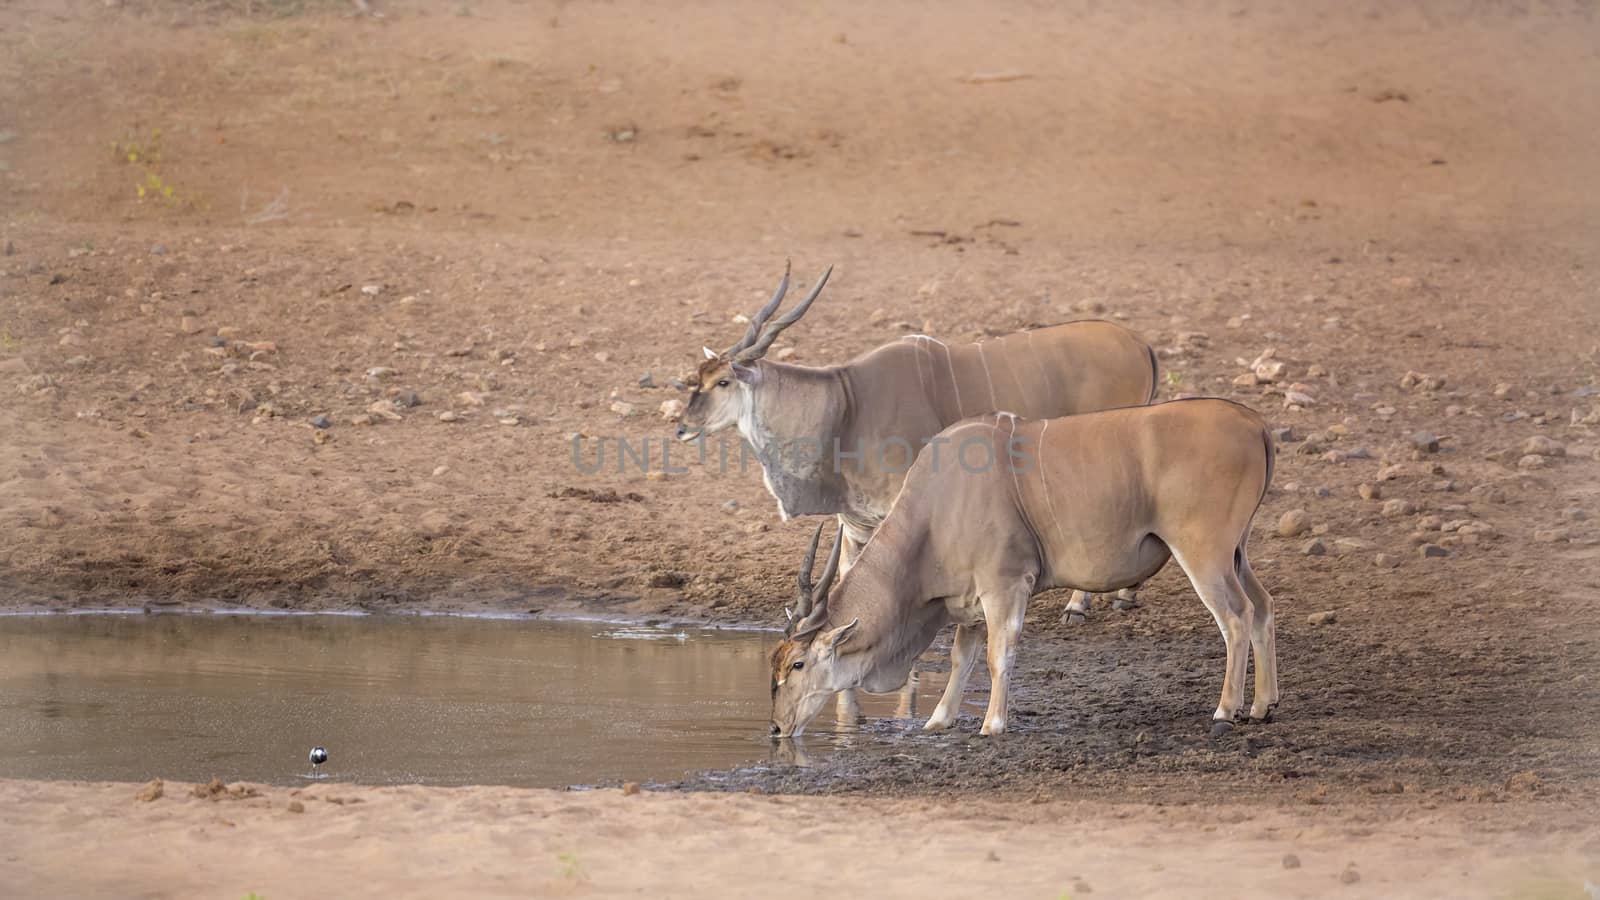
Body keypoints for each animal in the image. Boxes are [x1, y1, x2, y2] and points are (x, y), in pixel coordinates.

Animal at [678, 261, 1164, 714]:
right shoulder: (854, 524)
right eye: (696, 379)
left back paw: (1079, 605)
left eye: (722, 381)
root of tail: (1140, 344)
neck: (847, 407)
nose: (681, 426)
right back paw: (1124, 595)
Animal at [768, 397, 1280, 736]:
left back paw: (1226, 710)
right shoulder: (971, 600)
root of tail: (1255, 422)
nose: (775, 728)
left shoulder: (1005, 585)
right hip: (1236, 553)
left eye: (796, 664)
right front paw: (938, 719)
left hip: (1204, 552)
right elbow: (961, 656)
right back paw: (1262, 705)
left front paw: (992, 724)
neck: (938, 503)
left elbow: (1000, 655)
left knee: (1236, 616)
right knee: (1263, 606)